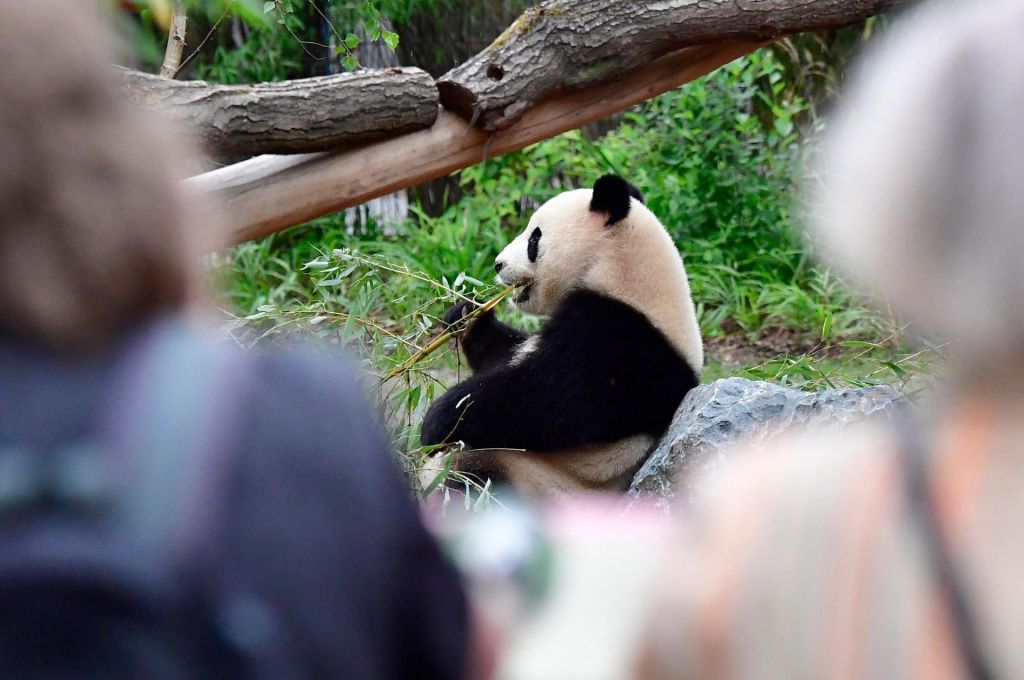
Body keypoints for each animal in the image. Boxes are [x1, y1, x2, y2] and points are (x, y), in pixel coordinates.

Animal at [417, 174, 704, 493]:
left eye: (534, 238)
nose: (498, 264)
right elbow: (505, 352)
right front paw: (467, 316)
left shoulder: (619, 341)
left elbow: (544, 400)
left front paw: (438, 420)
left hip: (535, 478)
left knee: (472, 479)